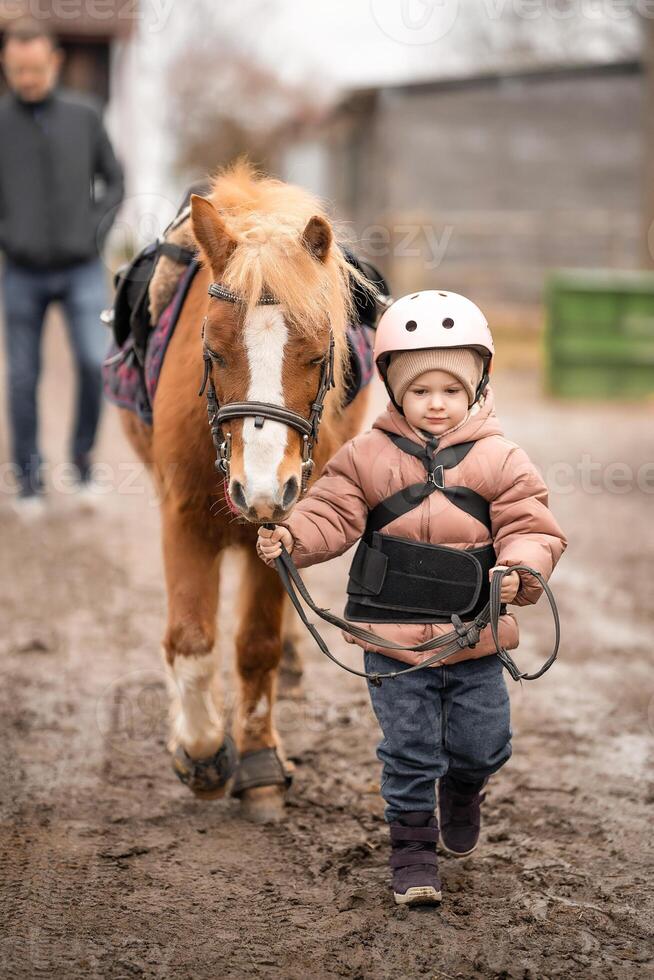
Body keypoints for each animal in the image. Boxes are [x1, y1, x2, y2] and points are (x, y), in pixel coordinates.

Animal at [120, 165, 372, 824]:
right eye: (211, 351)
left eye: (318, 354)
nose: (259, 486)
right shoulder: (182, 514)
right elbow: (190, 640)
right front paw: (202, 752)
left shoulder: (281, 515)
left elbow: (255, 645)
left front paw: (258, 762)